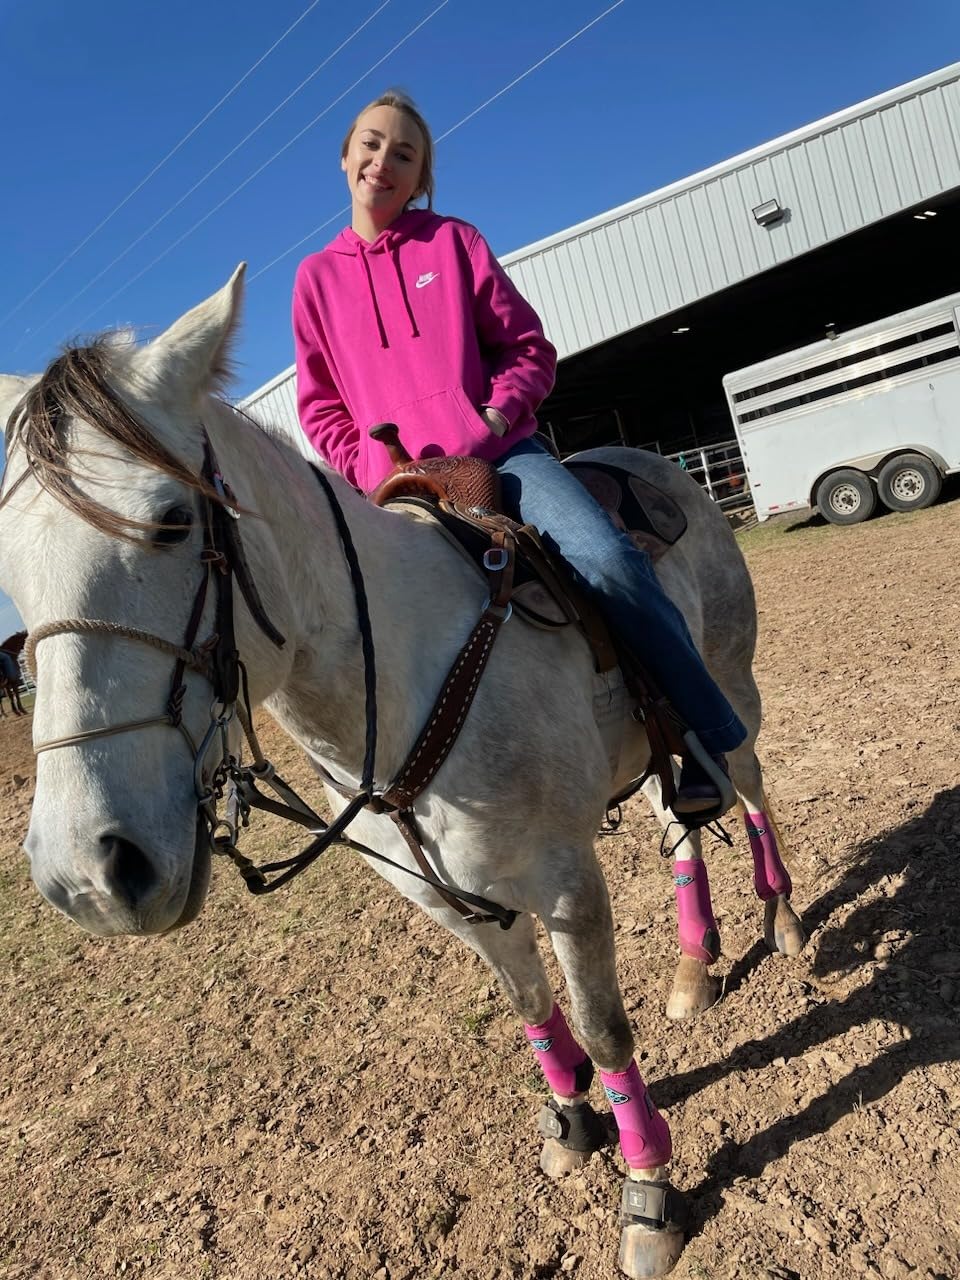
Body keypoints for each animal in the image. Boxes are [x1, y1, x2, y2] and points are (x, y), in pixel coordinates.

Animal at [0, 268, 803, 1278]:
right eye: (10, 569)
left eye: (172, 519)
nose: (88, 875)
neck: (403, 677)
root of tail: (657, 463)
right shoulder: (449, 897)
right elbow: (531, 1004)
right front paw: (571, 1123)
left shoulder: (566, 884)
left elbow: (602, 1024)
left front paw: (648, 1190)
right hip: (663, 753)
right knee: (678, 820)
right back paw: (697, 965)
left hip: (728, 686)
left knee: (750, 786)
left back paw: (785, 920)